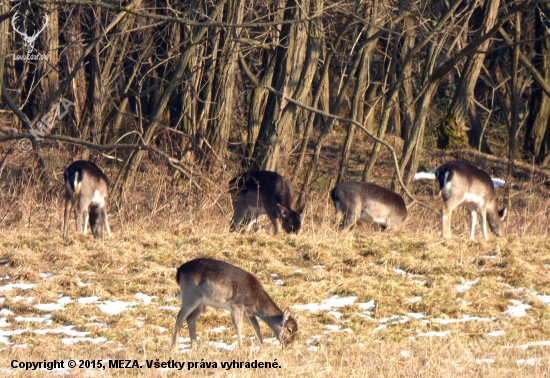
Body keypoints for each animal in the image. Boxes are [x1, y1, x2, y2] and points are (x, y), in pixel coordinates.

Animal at [172, 258, 300, 350]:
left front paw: (262, 347)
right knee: (180, 316)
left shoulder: (248, 313)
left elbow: (256, 327)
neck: (255, 303)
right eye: (289, 329)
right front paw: (241, 349)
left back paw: (194, 347)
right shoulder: (235, 305)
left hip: (201, 303)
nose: (288, 344)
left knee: (190, 318)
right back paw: (174, 348)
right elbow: (239, 327)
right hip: (190, 294)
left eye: (296, 330)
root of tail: (179, 271)